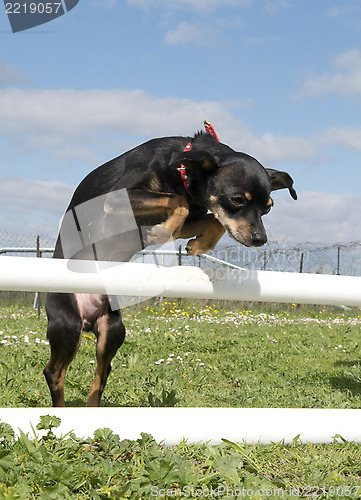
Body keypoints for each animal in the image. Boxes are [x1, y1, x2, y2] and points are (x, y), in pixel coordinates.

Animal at [43, 126, 296, 406]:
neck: (181, 169)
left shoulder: (193, 215)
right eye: (238, 199)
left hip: (112, 329)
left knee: (101, 373)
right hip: (68, 325)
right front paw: (164, 232)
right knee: (54, 372)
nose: (260, 239)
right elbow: (178, 201)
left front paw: (197, 245)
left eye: (268, 208)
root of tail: (87, 320)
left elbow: (212, 221)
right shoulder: (119, 198)